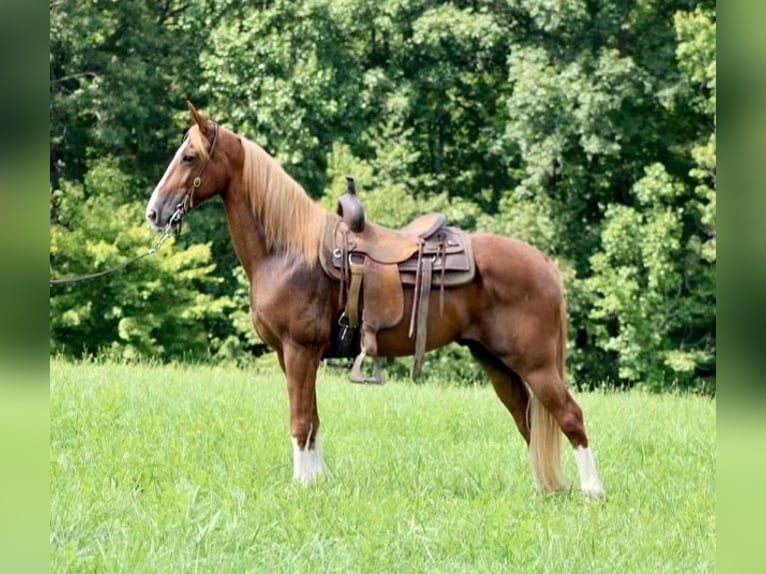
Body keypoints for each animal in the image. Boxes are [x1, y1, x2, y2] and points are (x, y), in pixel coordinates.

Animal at [146, 104, 608, 500]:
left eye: (189, 157)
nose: (154, 213)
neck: (288, 250)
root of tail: (544, 264)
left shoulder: (299, 350)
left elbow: (300, 419)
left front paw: (301, 485)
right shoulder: (293, 356)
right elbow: (312, 420)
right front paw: (318, 481)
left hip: (536, 365)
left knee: (571, 416)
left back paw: (592, 492)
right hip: (498, 365)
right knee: (528, 420)